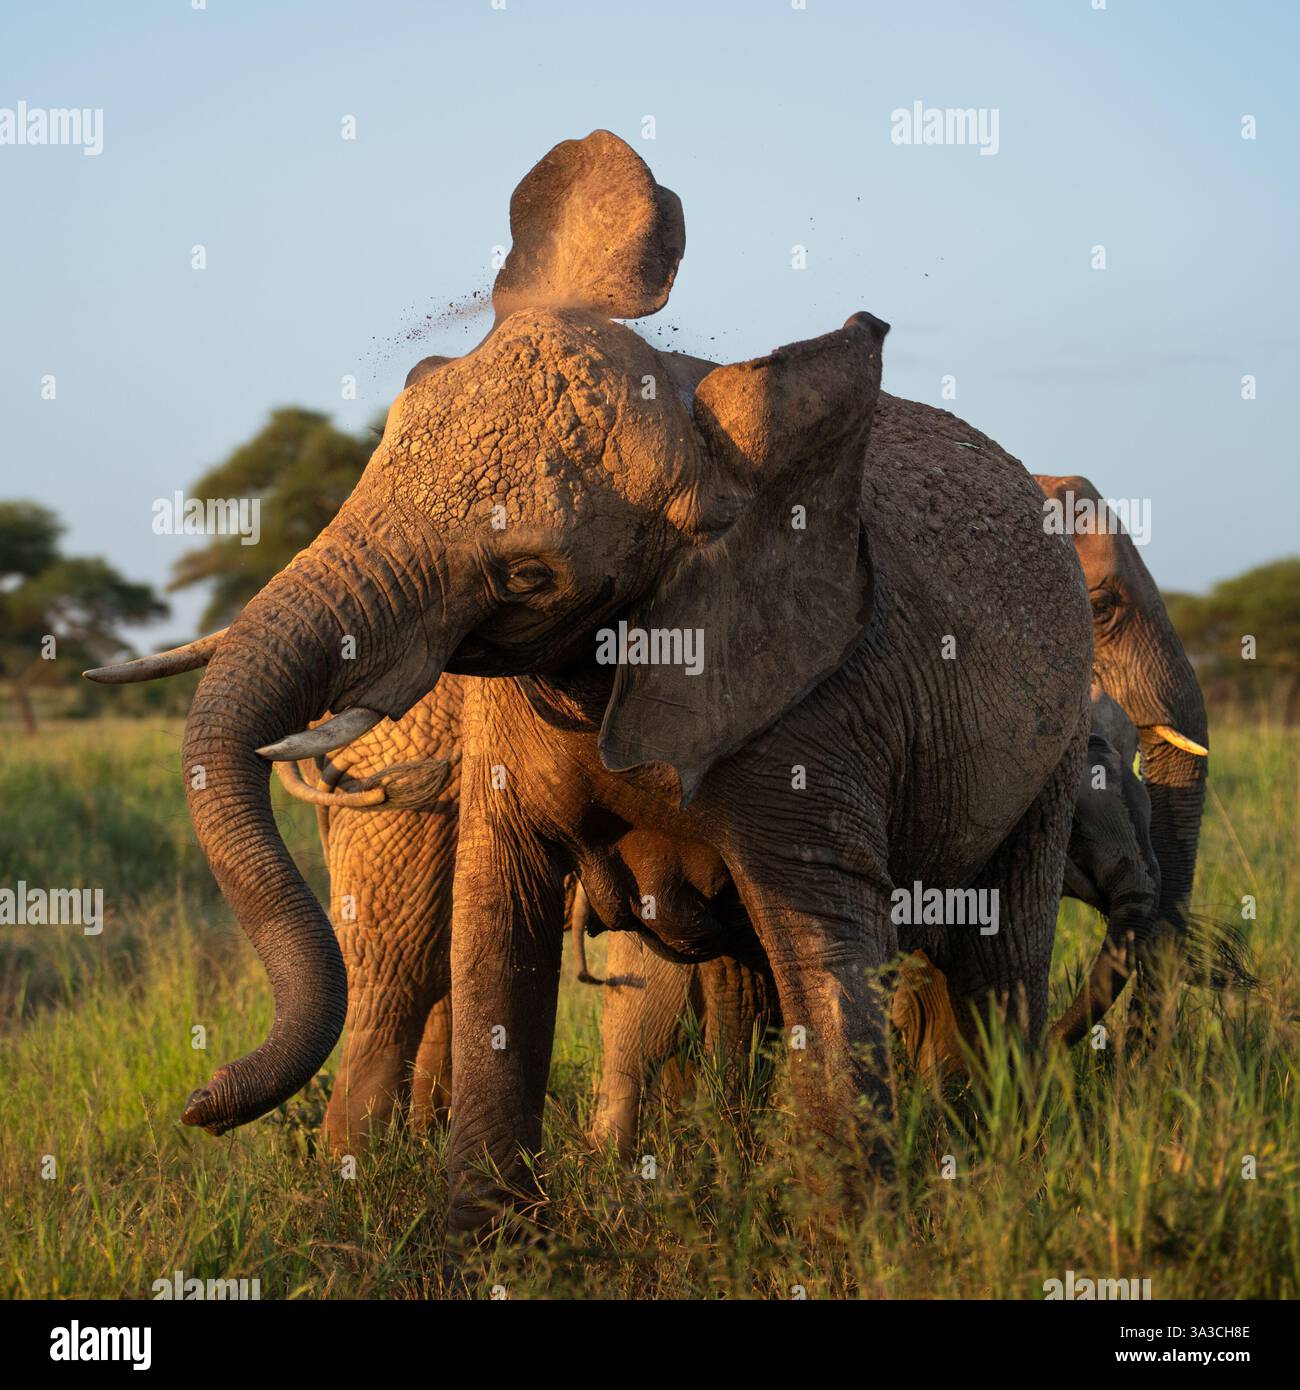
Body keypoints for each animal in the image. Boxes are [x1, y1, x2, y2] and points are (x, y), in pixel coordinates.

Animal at [88, 130, 1095, 1238]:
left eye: (530, 576)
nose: (199, 1102)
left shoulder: (811, 702)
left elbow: (817, 934)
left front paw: (852, 1233)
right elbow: (496, 910)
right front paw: (484, 1237)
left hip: (1055, 740)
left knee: (999, 950)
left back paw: (992, 1157)